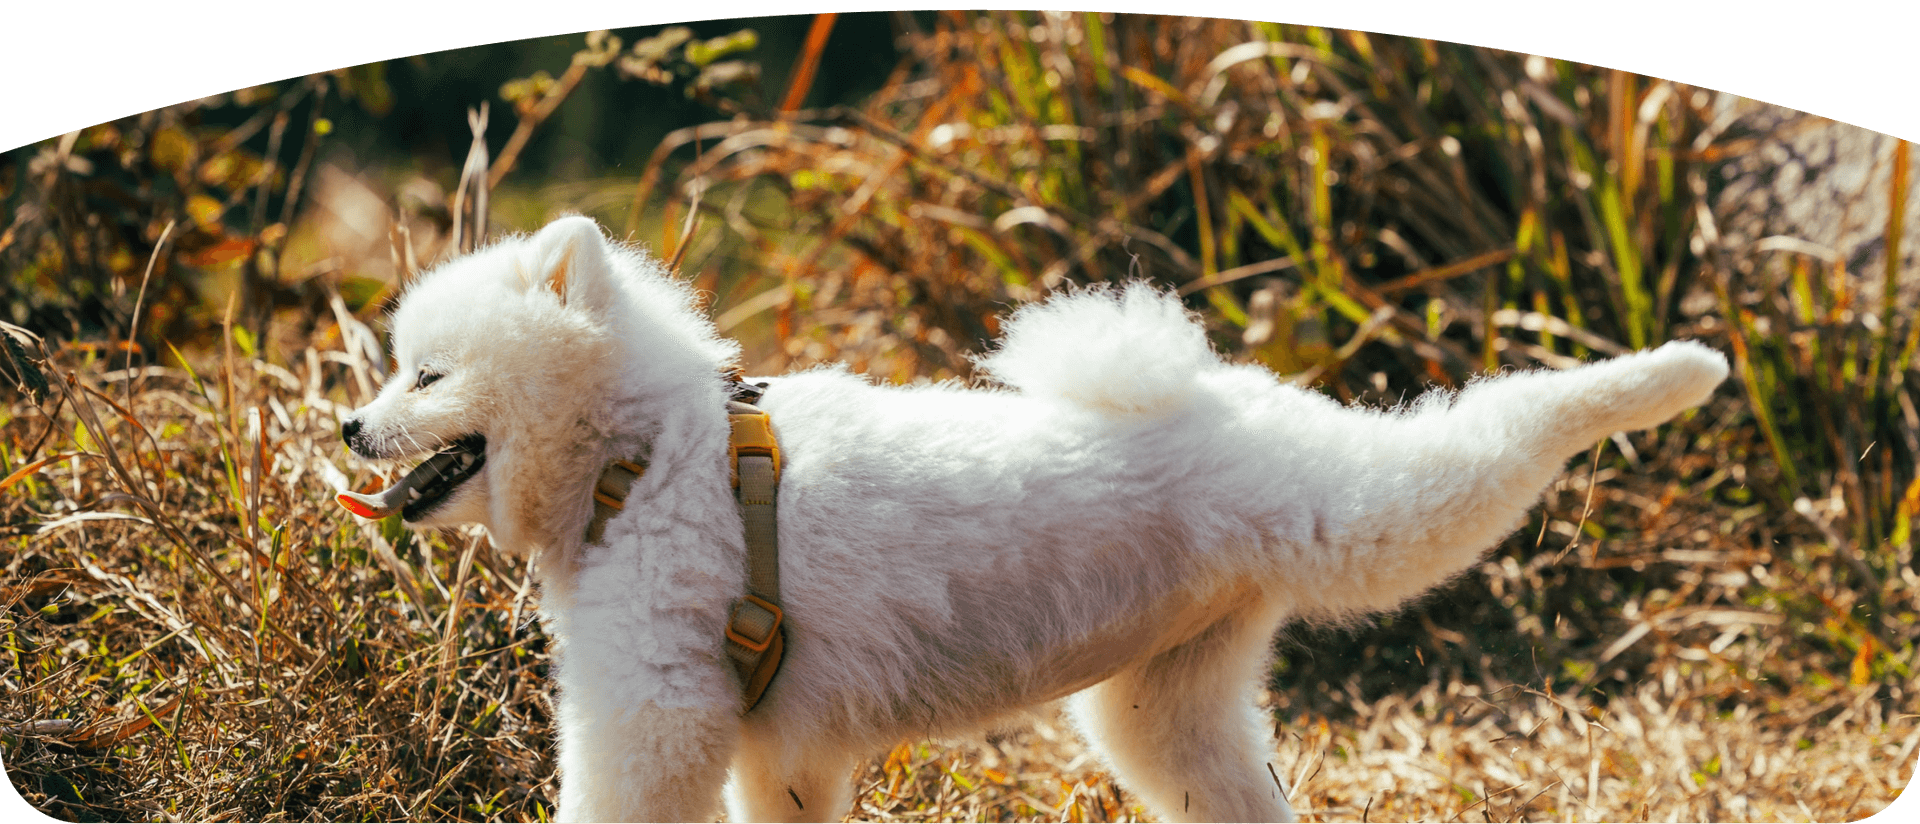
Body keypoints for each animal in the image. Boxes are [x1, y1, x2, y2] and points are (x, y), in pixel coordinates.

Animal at [337, 215, 1735, 818]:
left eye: (426, 376)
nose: (347, 429)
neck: (646, 456)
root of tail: (1218, 390)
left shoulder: (654, 714)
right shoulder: (778, 747)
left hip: (1366, 513)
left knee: (1493, 439)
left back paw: (1672, 370)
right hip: (1169, 712)